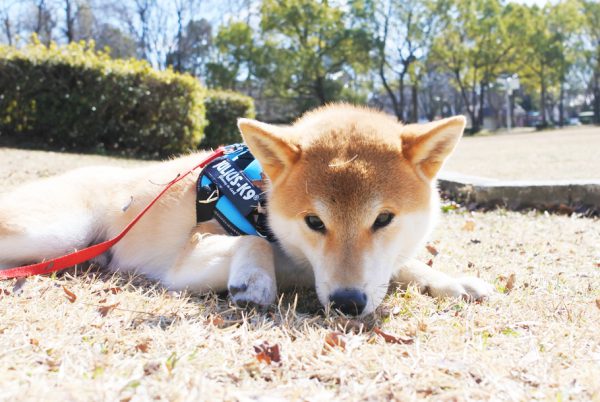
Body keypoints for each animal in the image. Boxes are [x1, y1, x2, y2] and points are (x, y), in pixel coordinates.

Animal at [0, 105, 492, 316]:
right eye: (315, 222)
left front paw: (454, 282)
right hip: (57, 234)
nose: (348, 304)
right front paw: (254, 280)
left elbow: (404, 266)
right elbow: (254, 243)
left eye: (383, 219)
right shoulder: (184, 262)